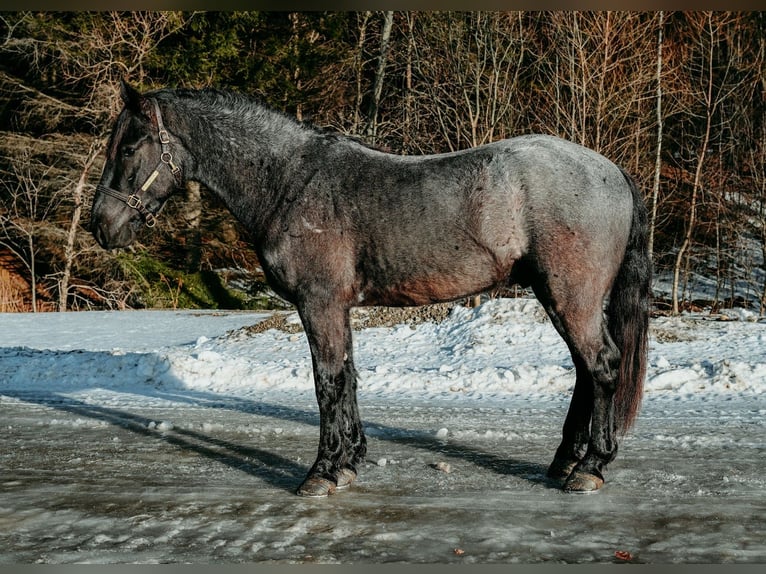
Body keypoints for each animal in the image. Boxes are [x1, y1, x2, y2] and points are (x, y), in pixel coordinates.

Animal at [91, 81, 651, 497]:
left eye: (130, 146)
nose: (101, 225)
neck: (290, 182)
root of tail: (611, 171)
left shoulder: (319, 303)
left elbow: (328, 382)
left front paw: (322, 472)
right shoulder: (338, 307)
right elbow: (349, 378)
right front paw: (349, 460)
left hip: (571, 297)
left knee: (601, 366)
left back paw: (590, 468)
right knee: (585, 372)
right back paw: (565, 462)